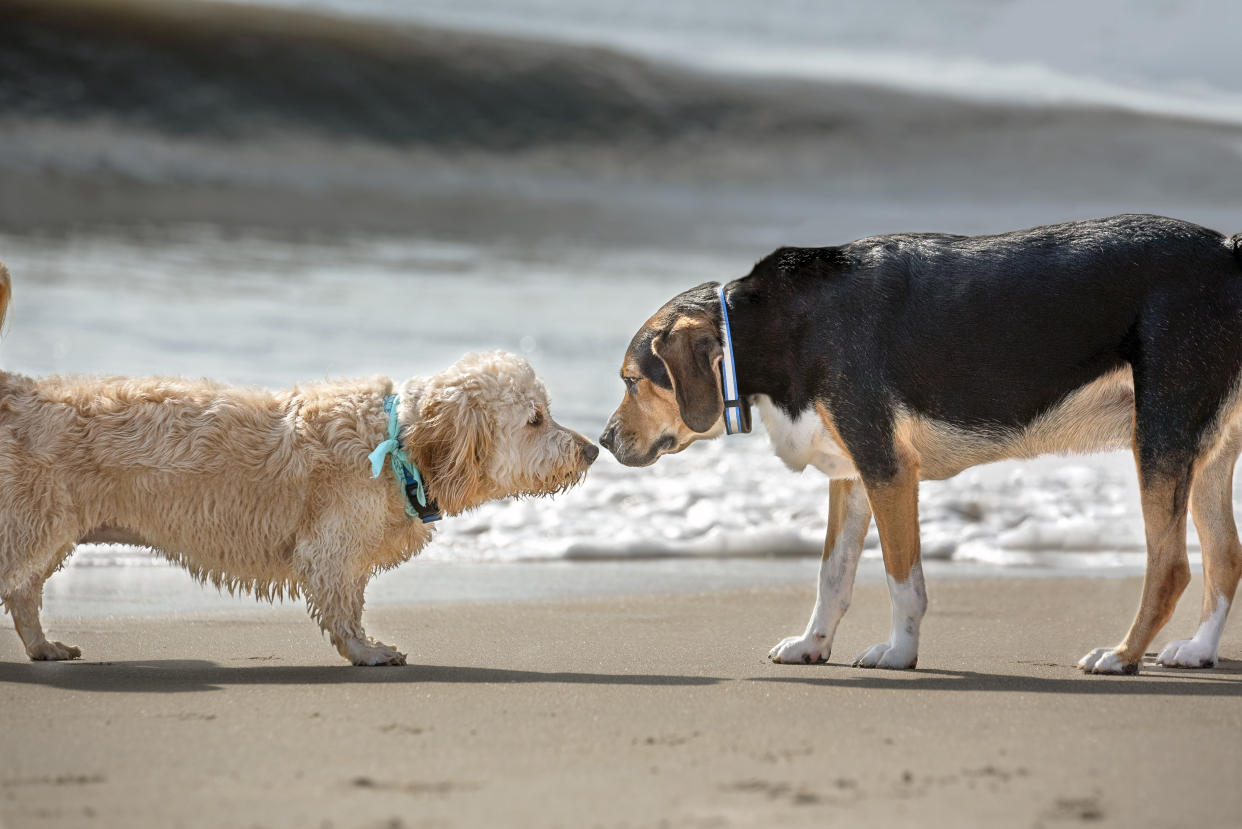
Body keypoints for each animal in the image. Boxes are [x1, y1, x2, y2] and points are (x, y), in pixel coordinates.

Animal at [0, 265, 596, 666]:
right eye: (536, 419)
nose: (592, 450)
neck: (397, 441)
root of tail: (16, 390)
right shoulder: (331, 546)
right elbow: (342, 604)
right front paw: (365, 651)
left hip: (47, 535)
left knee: (24, 594)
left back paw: (43, 646)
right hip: (29, 528)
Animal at [598, 212, 1242, 676]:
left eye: (630, 380)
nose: (602, 441)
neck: (783, 325)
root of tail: (1228, 249)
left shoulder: (887, 472)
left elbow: (902, 581)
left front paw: (900, 654)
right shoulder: (852, 478)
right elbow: (832, 578)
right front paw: (813, 644)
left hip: (1159, 438)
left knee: (1171, 567)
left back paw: (1122, 656)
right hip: (1206, 458)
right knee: (1225, 557)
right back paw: (1198, 650)